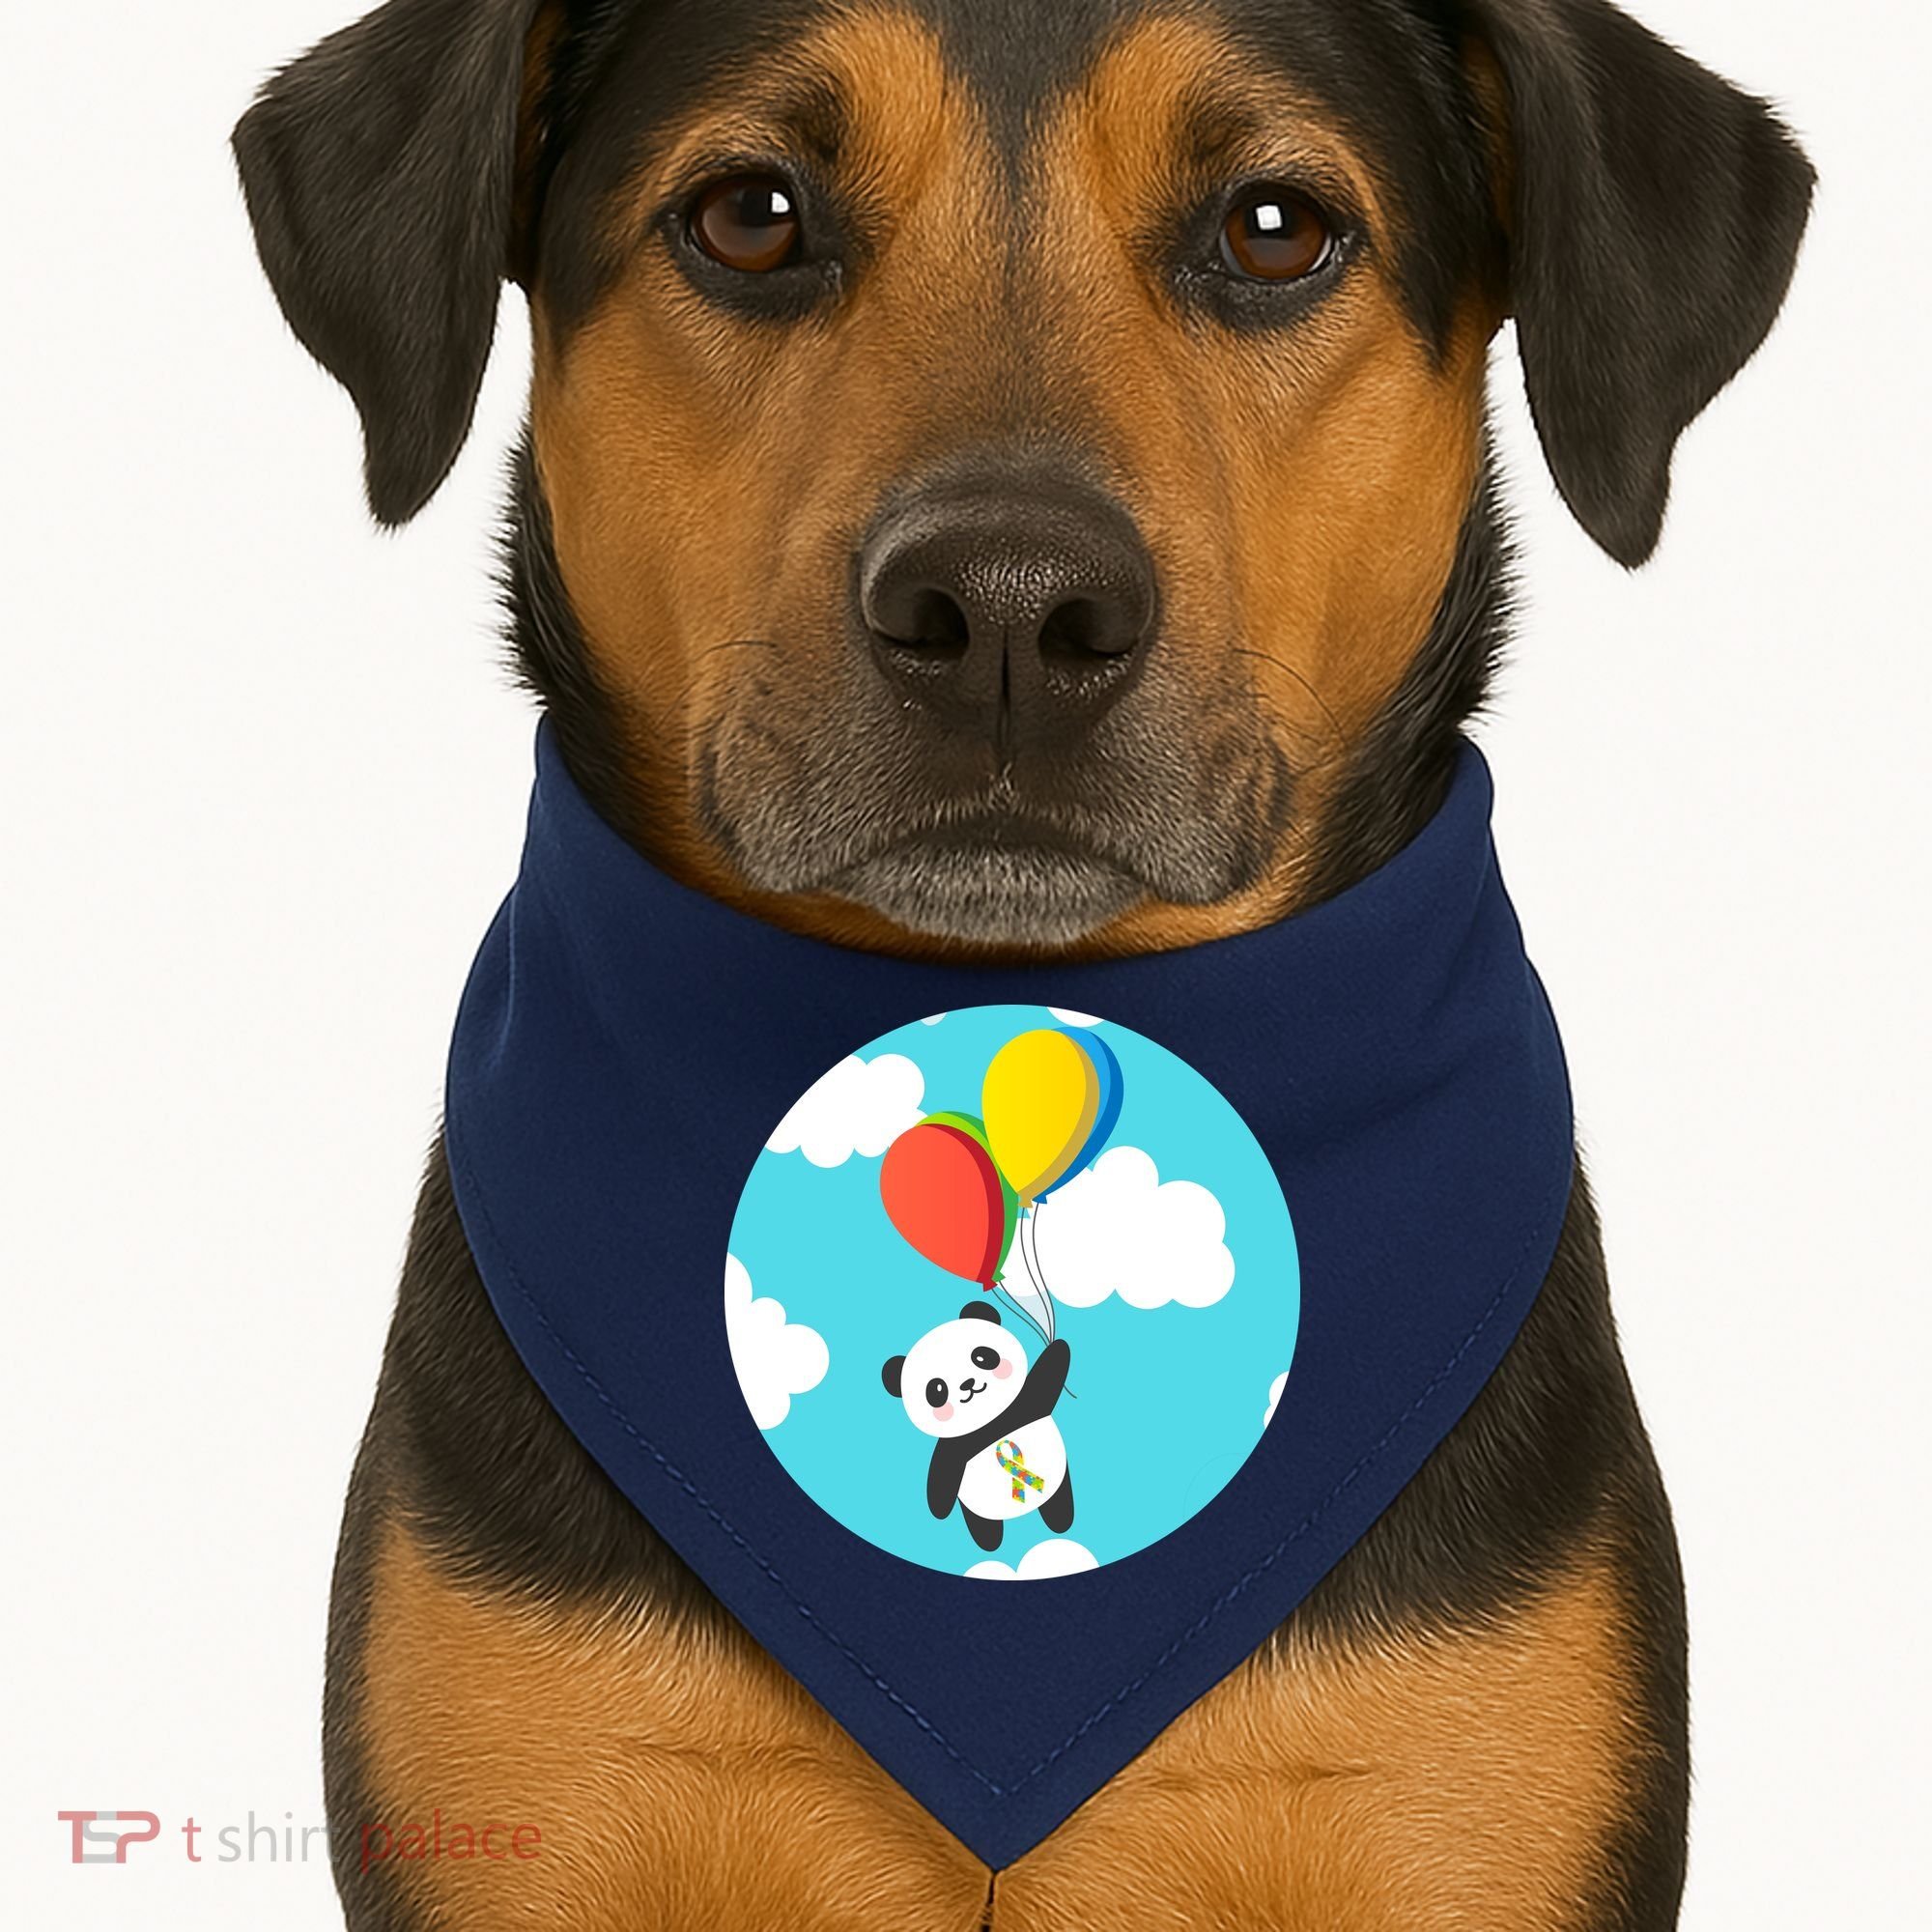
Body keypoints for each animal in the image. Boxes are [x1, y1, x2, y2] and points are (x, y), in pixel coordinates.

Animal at [881, 1300, 1074, 1553]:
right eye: (936, 1389)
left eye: (982, 1356)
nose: (968, 1384)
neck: (989, 1420)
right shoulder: (954, 1446)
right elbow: (942, 1473)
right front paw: (939, 1509)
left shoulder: (1025, 1406)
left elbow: (1044, 1379)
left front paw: (1057, 1346)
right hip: (975, 1509)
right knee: (982, 1524)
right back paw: (990, 1542)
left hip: (1059, 1480)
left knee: (1058, 1503)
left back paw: (1061, 1523)